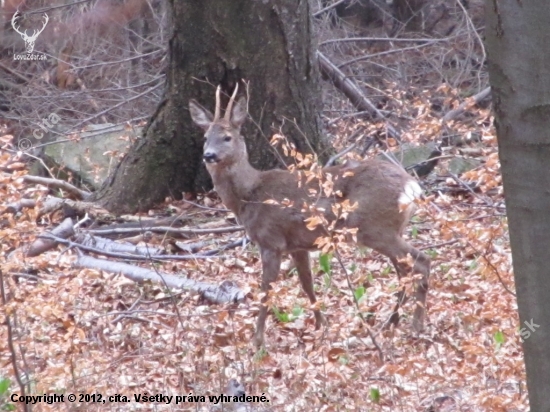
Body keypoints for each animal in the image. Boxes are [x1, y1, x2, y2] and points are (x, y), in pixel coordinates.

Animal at [190, 87, 432, 348]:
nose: (209, 155)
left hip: (375, 228)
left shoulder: (271, 241)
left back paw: (415, 325)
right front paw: (320, 326)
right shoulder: (298, 245)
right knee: (404, 269)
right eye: (206, 137)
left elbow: (266, 291)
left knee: (421, 261)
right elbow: (307, 284)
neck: (249, 195)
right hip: (391, 229)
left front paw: (257, 341)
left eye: (227, 137)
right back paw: (391, 322)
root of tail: (411, 186)